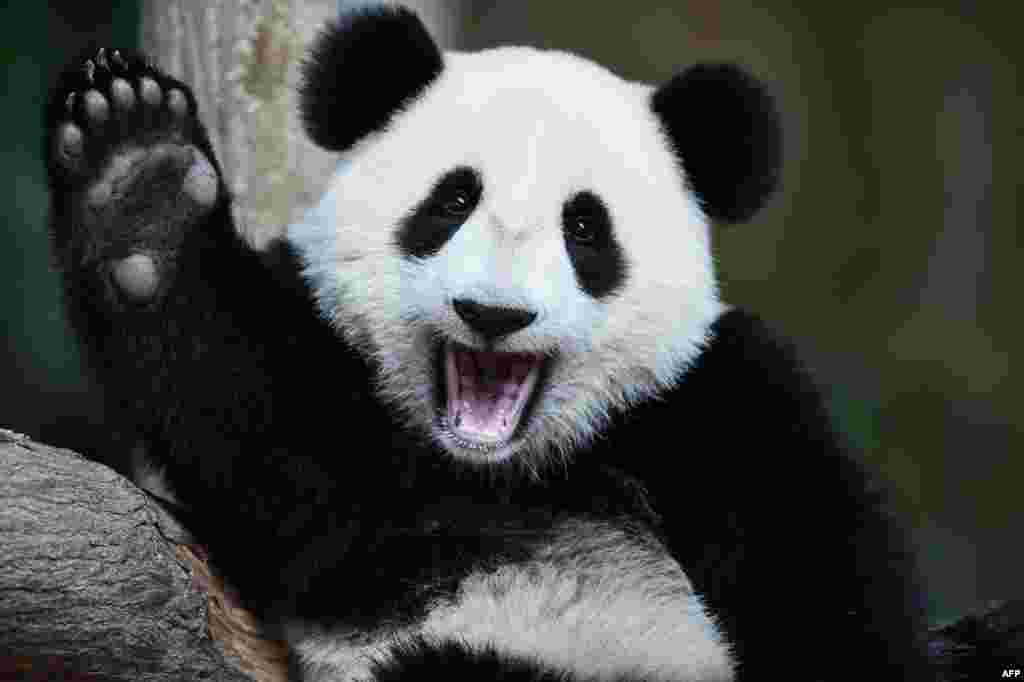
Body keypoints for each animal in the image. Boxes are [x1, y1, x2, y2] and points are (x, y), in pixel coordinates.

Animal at [46, 2, 929, 675]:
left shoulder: (713, 402)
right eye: (452, 201)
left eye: (585, 227)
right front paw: (142, 185)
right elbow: (251, 415)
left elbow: (819, 573)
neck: (505, 471)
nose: (494, 315)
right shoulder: (338, 418)